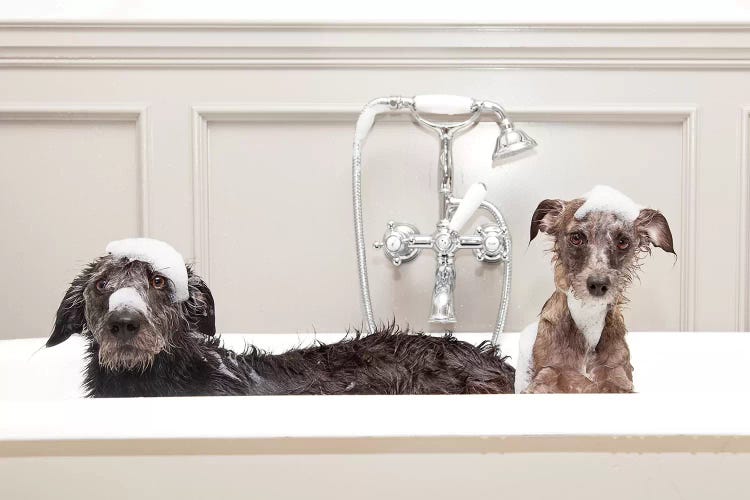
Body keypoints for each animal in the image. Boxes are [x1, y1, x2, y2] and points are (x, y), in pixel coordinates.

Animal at [516, 186, 676, 392]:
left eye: (623, 241)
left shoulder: (617, 374)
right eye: (576, 237)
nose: (599, 284)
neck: (588, 319)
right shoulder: (547, 373)